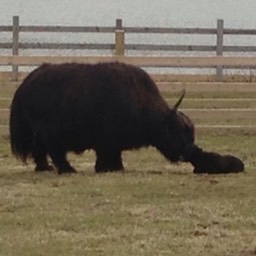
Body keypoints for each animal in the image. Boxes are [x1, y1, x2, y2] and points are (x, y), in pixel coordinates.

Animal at [9, 61, 194, 174]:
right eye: (178, 132)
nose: (187, 153)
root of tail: (26, 84)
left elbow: (115, 155)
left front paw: (117, 168)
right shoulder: (106, 140)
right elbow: (106, 154)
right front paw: (104, 168)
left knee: (41, 150)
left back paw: (45, 167)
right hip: (50, 133)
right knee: (55, 151)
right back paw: (68, 169)